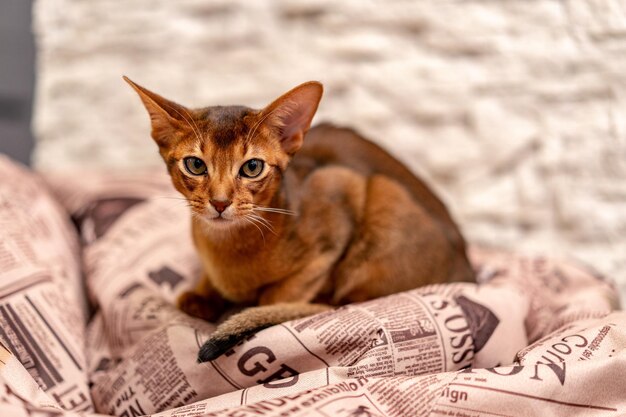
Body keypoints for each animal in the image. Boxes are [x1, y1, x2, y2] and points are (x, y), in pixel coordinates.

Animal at [123, 77, 472, 360]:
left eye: (252, 167)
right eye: (195, 164)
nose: (220, 202)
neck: (228, 249)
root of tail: (467, 271)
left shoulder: (338, 199)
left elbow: (281, 294)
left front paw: (250, 308)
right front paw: (203, 294)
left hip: (385, 195)